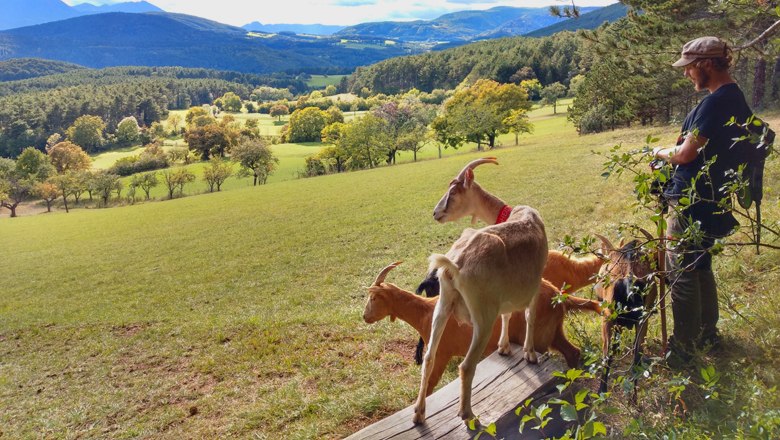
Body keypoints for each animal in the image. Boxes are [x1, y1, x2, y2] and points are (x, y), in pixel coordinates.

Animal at [366, 262, 604, 396]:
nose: (365, 316)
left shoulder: (441, 354)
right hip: (552, 332)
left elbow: (430, 384)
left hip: (539, 337)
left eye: (374, 297)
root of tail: (558, 295)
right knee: (573, 352)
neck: (426, 312)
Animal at [414, 157, 548, 422]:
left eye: (453, 192)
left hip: (443, 305)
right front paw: (529, 353)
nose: (435, 213)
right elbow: (530, 315)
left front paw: (504, 347)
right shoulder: (535, 282)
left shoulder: (507, 293)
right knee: (466, 366)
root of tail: (455, 265)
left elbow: (509, 313)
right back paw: (467, 414)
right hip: (483, 315)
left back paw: (419, 413)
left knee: (429, 357)